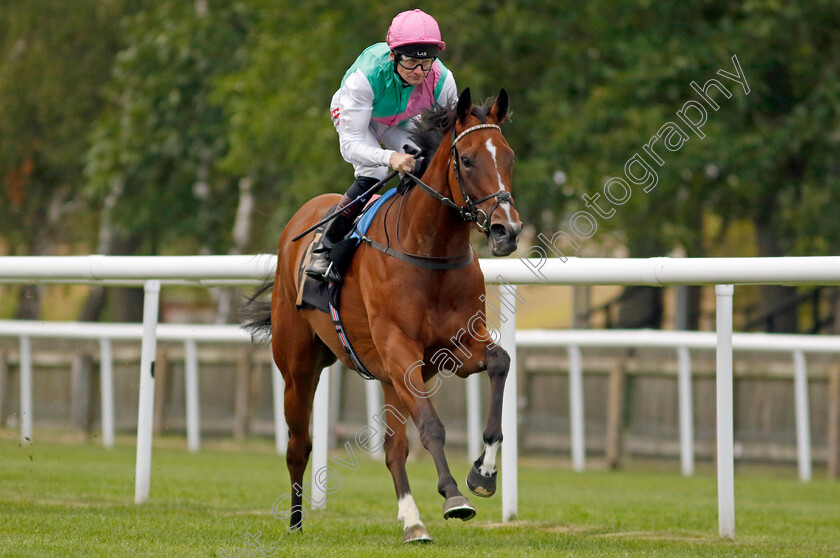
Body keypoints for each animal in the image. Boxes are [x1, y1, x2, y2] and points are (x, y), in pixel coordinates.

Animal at [240, 89, 520, 544]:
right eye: (467, 160)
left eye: (509, 157)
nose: (506, 230)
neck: (429, 252)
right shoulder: (399, 350)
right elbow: (432, 426)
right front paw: (454, 497)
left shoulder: (454, 348)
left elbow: (500, 361)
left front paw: (484, 473)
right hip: (298, 367)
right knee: (299, 445)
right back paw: (296, 521)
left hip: (389, 380)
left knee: (393, 450)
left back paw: (413, 523)